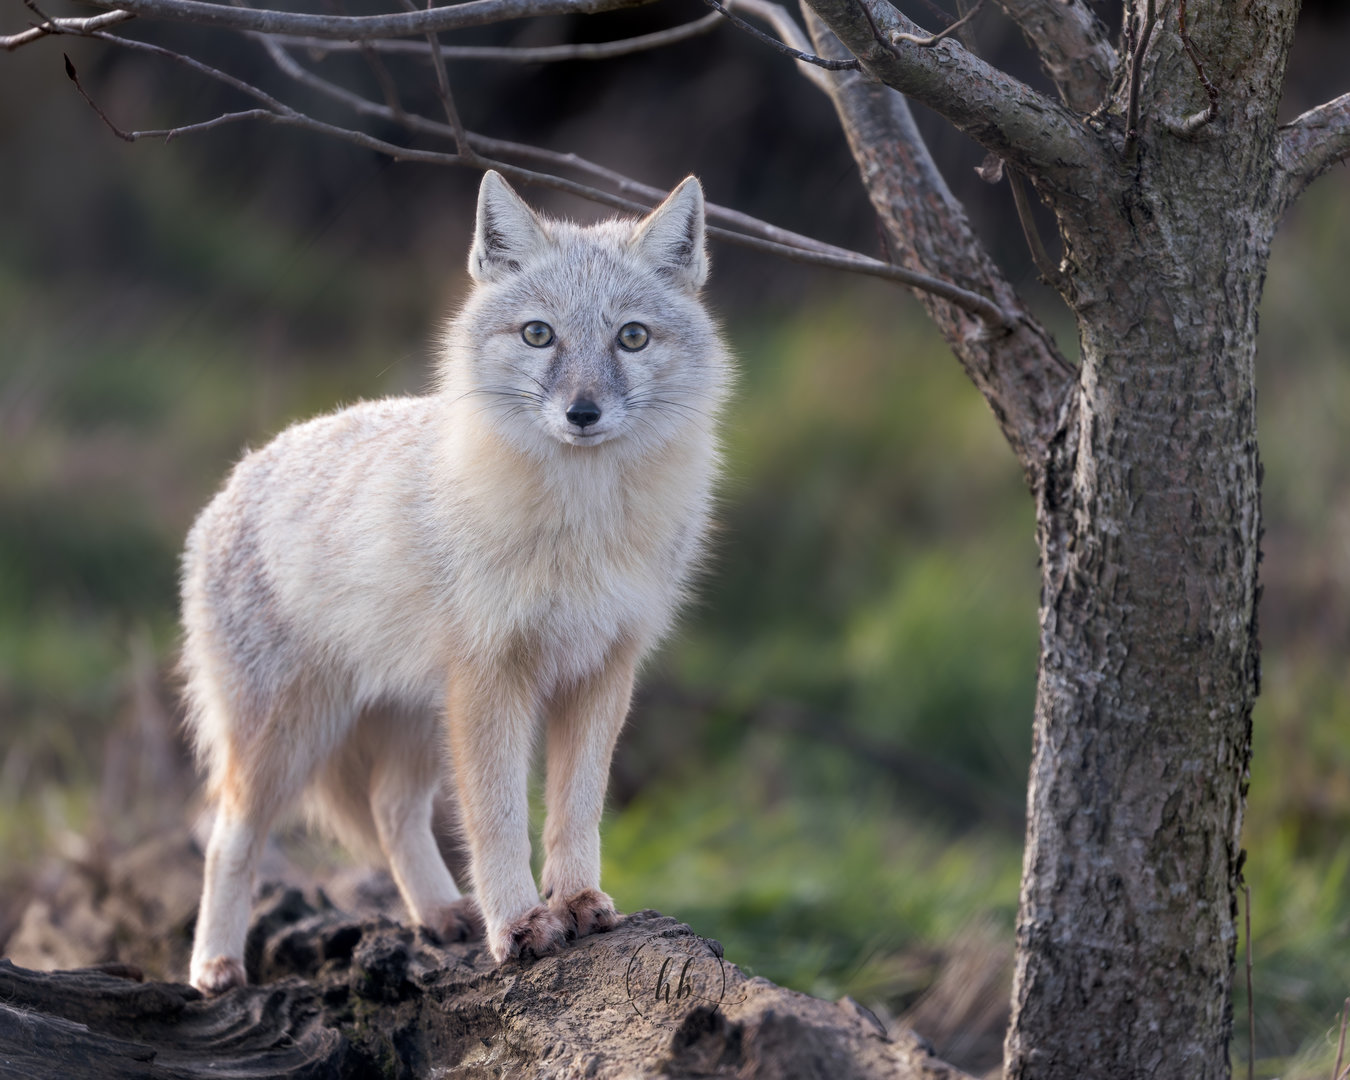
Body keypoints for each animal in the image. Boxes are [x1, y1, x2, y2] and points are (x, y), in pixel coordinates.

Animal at [179, 170, 731, 994]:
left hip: (412, 721)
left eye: (631, 336)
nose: (583, 412)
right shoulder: (491, 677)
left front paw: (578, 901)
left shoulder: (602, 670)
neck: (581, 530)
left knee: (389, 811)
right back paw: (214, 965)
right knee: (228, 835)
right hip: (290, 734)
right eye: (539, 334)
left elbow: (576, 807)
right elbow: (498, 818)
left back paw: (439, 913)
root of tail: (231, 483)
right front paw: (521, 924)